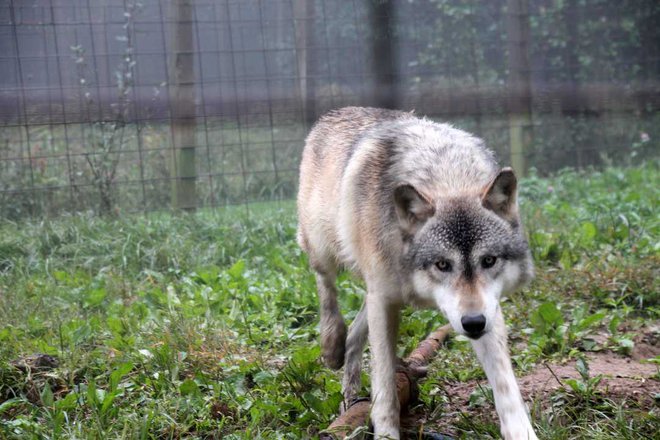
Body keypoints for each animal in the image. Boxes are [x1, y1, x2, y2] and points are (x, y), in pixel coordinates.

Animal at [296, 106, 540, 440]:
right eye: (442, 265)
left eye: (489, 261)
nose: (473, 323)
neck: (448, 180)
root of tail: (336, 112)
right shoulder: (385, 301)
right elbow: (384, 384)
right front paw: (386, 432)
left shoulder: (487, 309)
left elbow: (506, 387)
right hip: (325, 250)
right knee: (327, 288)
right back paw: (332, 345)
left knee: (357, 332)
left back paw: (349, 397)